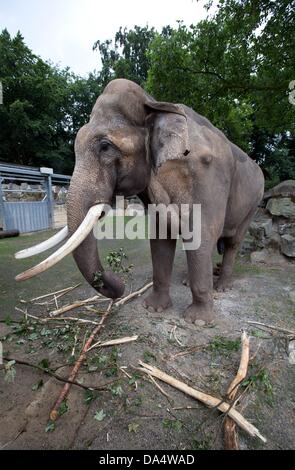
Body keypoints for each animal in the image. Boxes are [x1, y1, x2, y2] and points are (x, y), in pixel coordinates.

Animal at [15, 79, 266, 324]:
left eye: (105, 146)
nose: (120, 284)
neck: (155, 102)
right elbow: (161, 238)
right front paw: (153, 309)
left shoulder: (206, 179)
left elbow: (201, 235)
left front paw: (198, 321)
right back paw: (190, 281)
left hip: (253, 204)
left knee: (232, 242)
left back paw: (222, 287)